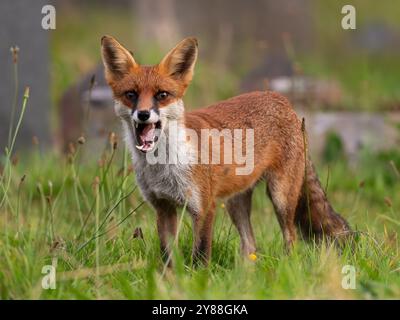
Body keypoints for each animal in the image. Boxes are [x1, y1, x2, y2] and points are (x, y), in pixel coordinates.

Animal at [100, 35, 350, 264]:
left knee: (291, 239)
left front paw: (197, 279)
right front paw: (169, 281)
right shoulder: (163, 208)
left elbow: (200, 256)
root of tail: (282, 99)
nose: (143, 114)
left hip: (281, 196)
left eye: (161, 95)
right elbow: (168, 258)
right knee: (250, 245)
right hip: (235, 203)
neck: (164, 168)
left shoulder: (203, 207)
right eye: (131, 95)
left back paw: (288, 269)